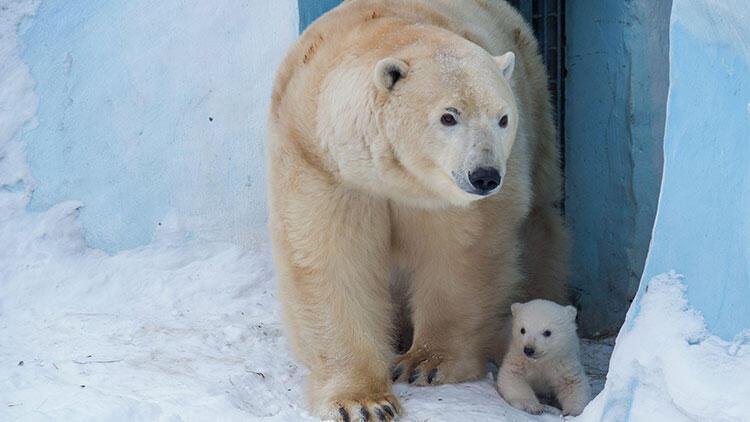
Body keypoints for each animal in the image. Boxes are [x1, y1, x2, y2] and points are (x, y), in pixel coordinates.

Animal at [268, 0, 568, 418]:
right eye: (449, 115)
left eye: (503, 118)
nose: (485, 176)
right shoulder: (320, 163)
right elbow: (331, 258)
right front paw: (363, 401)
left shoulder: (446, 196)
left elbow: (459, 254)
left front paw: (426, 362)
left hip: (536, 102)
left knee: (540, 226)